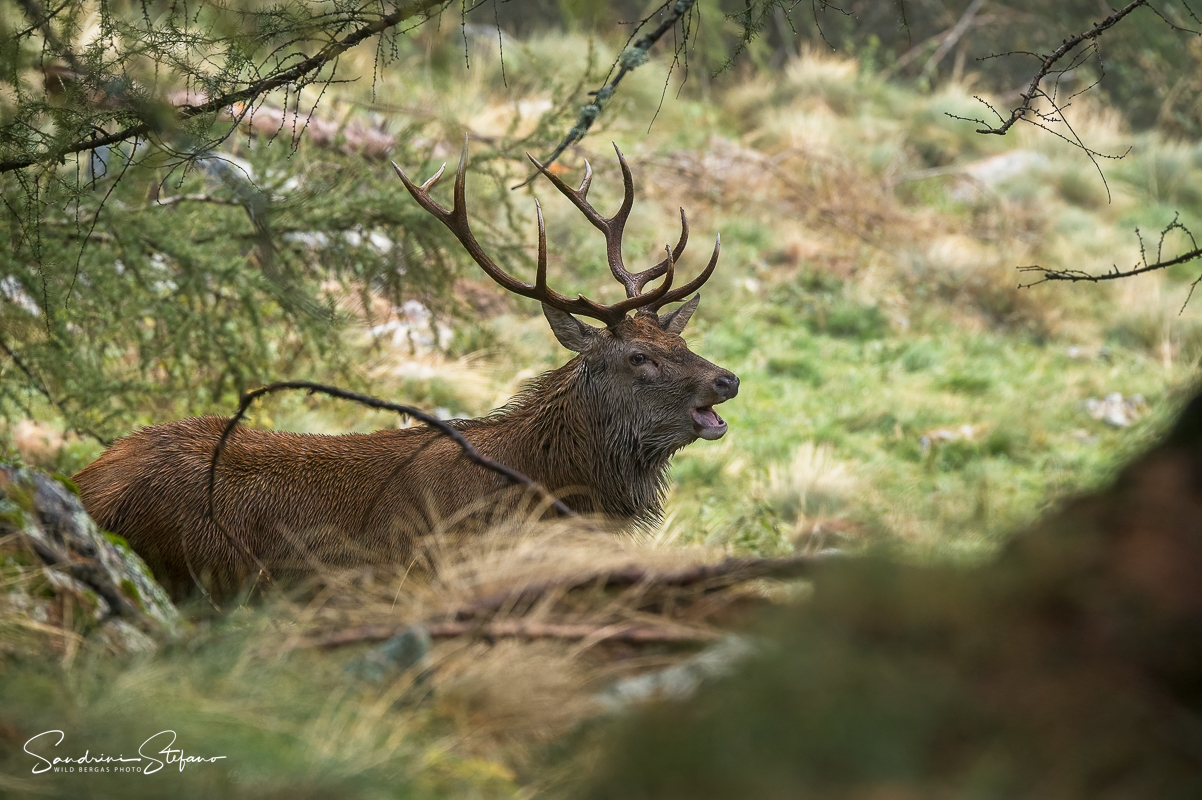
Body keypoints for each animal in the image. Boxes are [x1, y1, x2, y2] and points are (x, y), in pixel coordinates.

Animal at [73, 139, 739, 601]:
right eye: (639, 356)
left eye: (679, 338)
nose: (727, 379)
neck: (548, 491)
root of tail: (90, 486)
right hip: (190, 574)